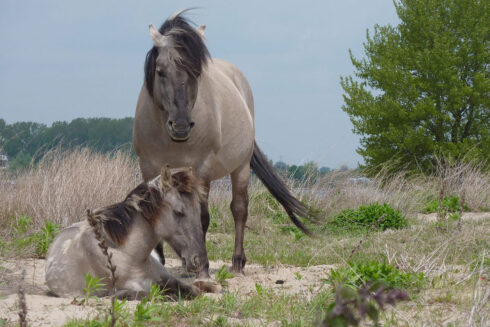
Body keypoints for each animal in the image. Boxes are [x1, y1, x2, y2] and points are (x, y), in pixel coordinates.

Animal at [43, 167, 208, 300]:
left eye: (199, 211)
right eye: (178, 212)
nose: (199, 260)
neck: (129, 255)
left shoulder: (167, 278)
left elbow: (193, 290)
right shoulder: (119, 291)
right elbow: (149, 294)